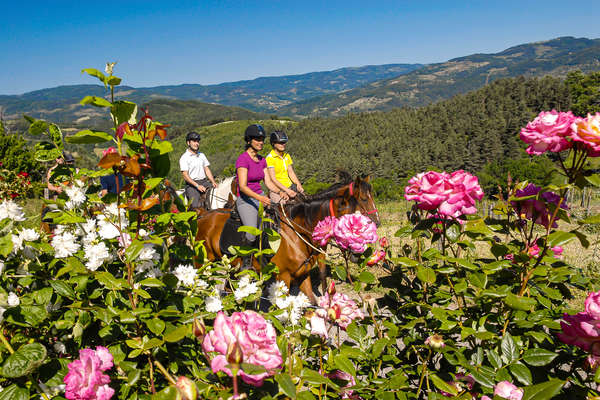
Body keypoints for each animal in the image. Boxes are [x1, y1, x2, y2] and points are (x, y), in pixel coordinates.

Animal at [197, 173, 380, 304]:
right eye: (364, 199)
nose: (377, 222)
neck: (298, 231)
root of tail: (202, 215)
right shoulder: (283, 277)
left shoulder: (311, 263)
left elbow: (318, 284)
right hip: (203, 262)